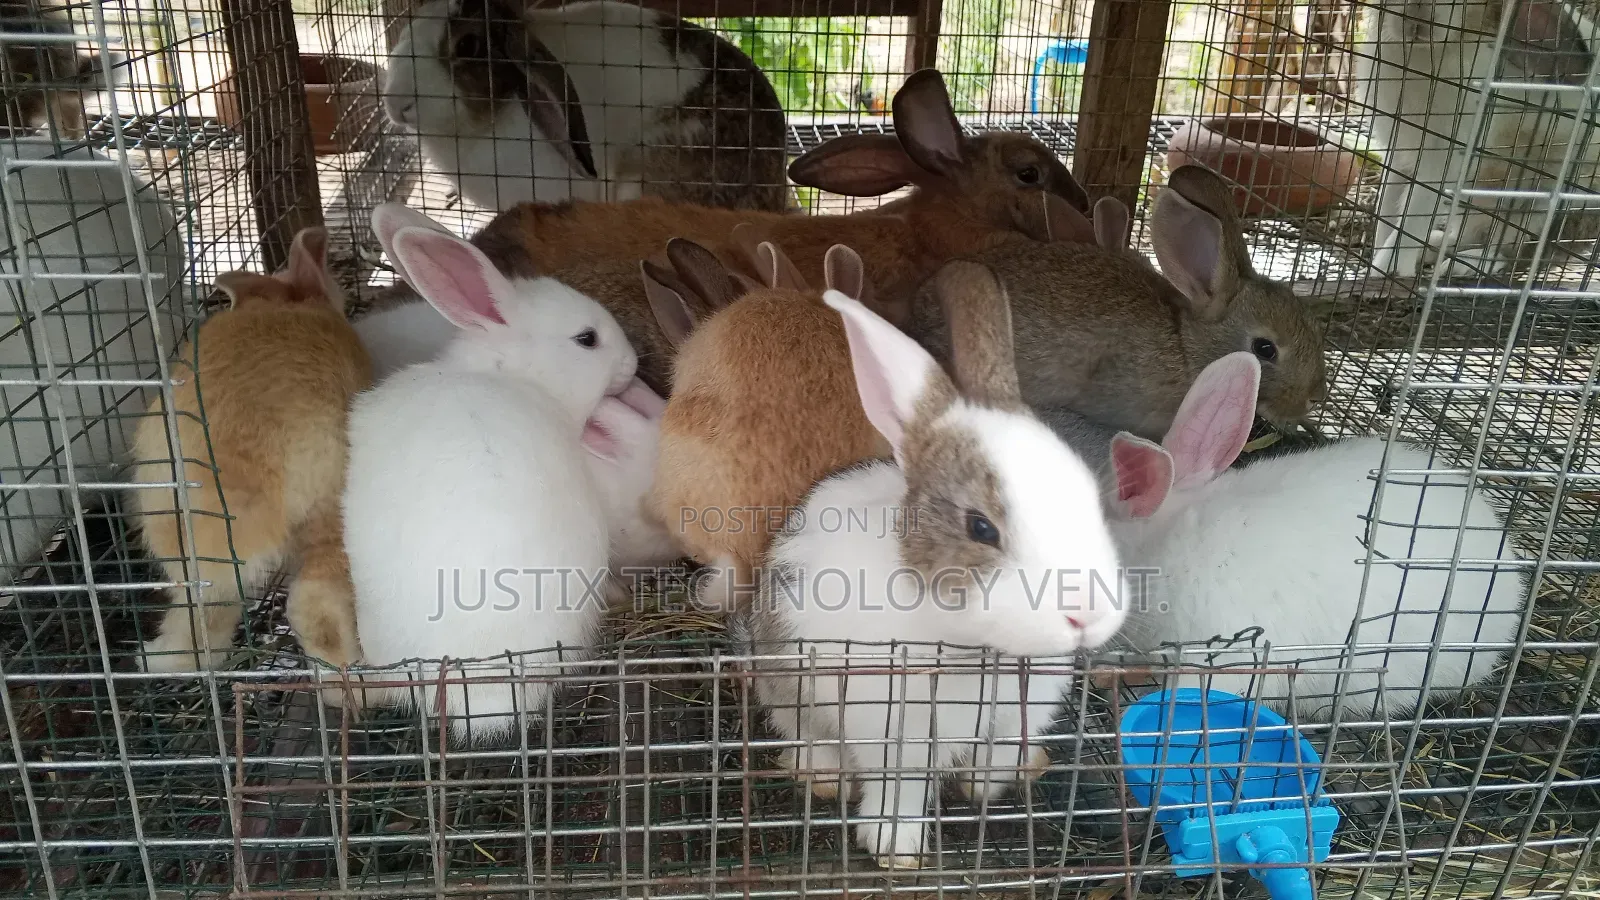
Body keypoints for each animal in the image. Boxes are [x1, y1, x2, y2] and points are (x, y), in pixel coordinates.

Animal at [131, 228, 373, 674]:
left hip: (184, 543)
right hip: (334, 512)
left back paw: (158, 658)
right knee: (315, 605)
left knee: (205, 614)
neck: (289, 302)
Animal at [743, 260, 1124, 868]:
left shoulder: (1015, 716)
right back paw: (822, 777)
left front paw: (990, 786)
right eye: (981, 527)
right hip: (782, 682)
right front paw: (896, 850)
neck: (974, 647)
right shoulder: (890, 730)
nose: (1087, 614)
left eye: (1090, 496)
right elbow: (897, 790)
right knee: (807, 736)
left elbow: (993, 756)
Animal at [1357, 0, 1600, 277]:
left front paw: (1387, 271)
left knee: (1512, 250)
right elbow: (1388, 210)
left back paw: (1462, 265)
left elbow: (1413, 217)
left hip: (1536, 202)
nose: (1417, 19)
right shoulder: (1400, 156)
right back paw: (1435, 246)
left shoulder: (1445, 161)